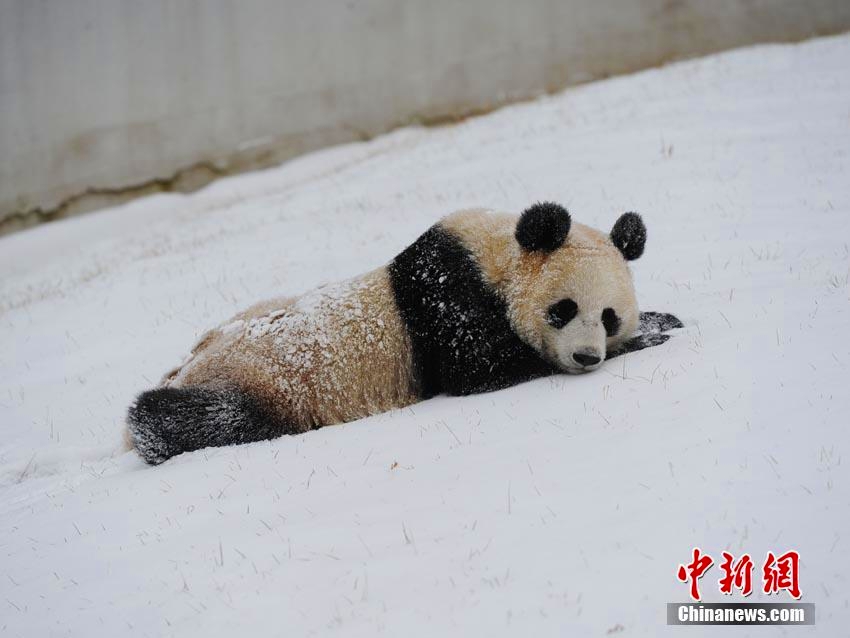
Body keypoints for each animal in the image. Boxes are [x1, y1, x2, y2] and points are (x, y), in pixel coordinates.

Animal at [127, 205, 684, 464]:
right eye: (564, 310)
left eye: (608, 316)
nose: (587, 358)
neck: (498, 256)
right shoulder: (447, 298)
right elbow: (480, 365)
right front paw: (654, 331)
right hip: (260, 385)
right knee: (194, 419)